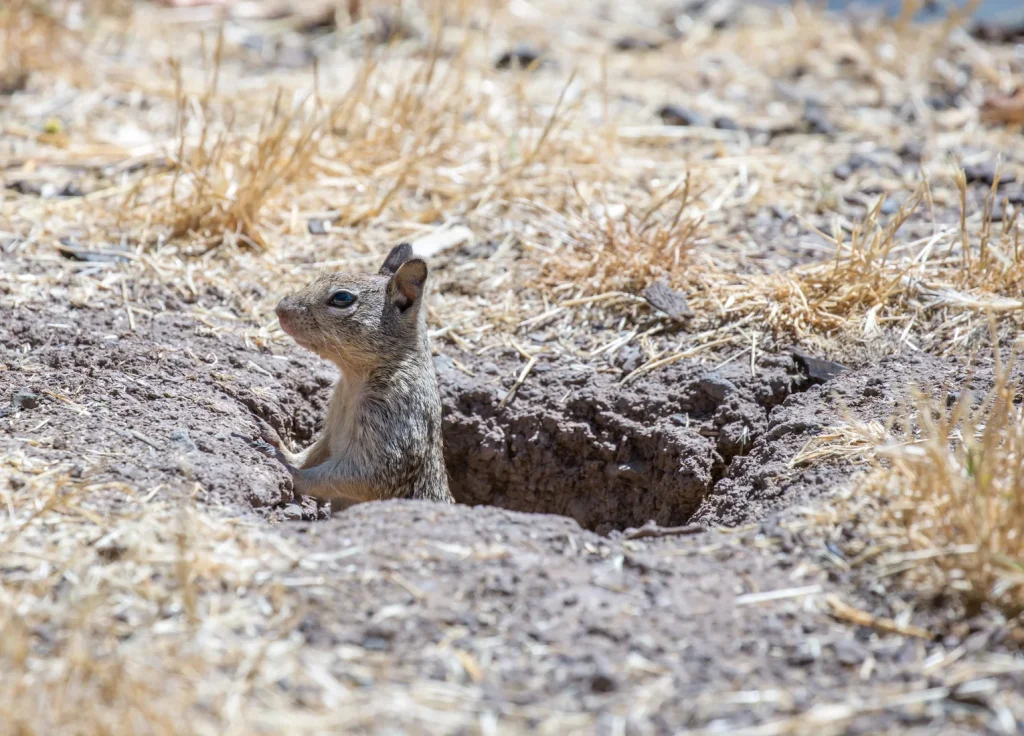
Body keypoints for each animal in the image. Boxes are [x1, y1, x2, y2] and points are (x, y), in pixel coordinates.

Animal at [254, 243, 453, 507]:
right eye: (321, 278)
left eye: (342, 298)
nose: (280, 309)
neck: (353, 379)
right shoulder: (331, 430)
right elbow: (314, 452)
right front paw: (280, 445)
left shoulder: (390, 428)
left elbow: (344, 477)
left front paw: (287, 468)